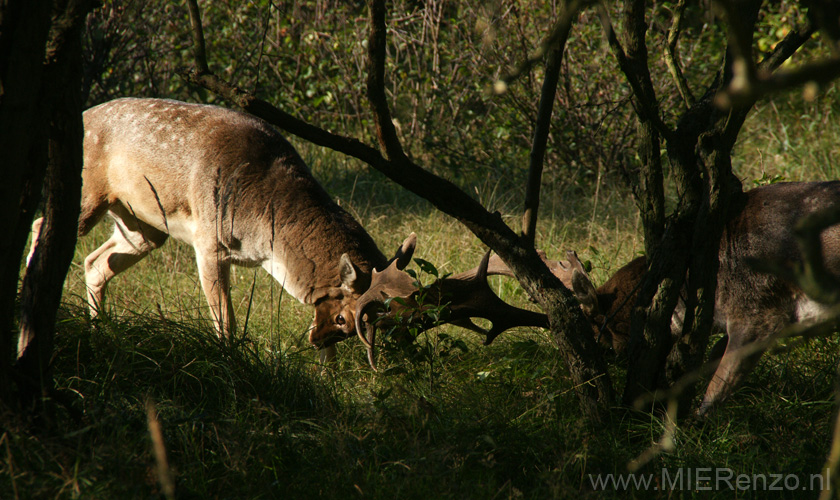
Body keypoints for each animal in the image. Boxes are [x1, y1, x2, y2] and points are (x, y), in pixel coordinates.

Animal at [26, 96, 540, 364]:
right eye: (347, 320)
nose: (316, 340)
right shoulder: (208, 239)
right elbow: (226, 317)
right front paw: (231, 358)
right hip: (90, 195)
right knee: (41, 224)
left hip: (143, 225)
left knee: (96, 262)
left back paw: (99, 328)